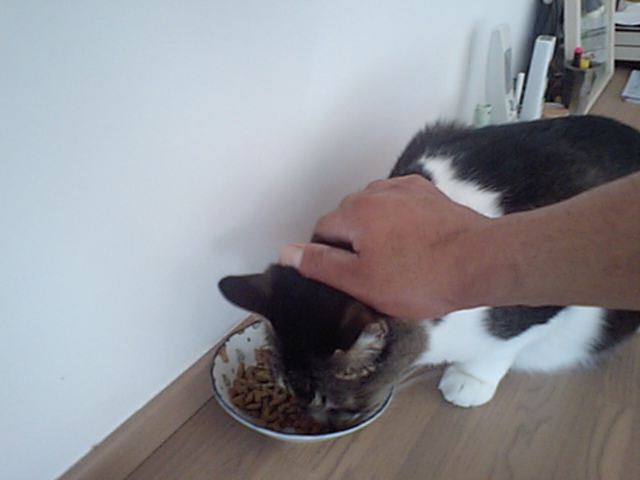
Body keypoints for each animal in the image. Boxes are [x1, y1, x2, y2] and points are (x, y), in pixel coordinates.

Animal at [219, 115, 640, 430]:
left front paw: (470, 380)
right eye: (288, 391)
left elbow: (503, 345)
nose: (321, 423)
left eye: (341, 407)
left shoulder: (540, 291)